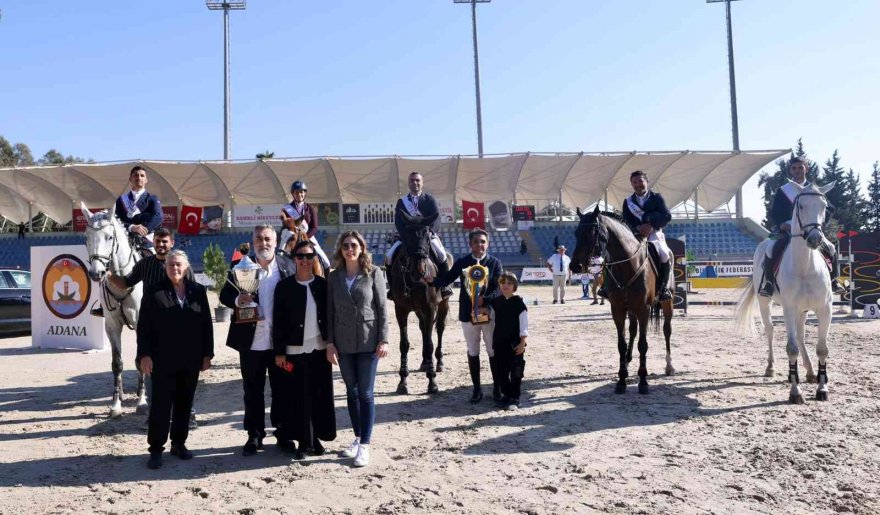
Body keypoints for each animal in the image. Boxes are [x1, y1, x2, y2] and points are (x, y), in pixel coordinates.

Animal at [81, 202, 148, 420]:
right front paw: (116, 404)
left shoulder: (140, 324)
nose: (96, 273)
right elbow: (117, 364)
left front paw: (142, 402)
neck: (123, 279)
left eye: (109, 237)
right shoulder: (112, 326)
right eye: (86, 237)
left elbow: (139, 361)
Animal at [390, 212, 446, 398]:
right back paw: (424, 362)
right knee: (423, 330)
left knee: (439, 329)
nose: (418, 271)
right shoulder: (400, 310)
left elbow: (429, 344)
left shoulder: (430, 308)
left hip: (442, 305)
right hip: (418, 311)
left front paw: (432, 382)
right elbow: (404, 344)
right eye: (407, 236)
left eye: (428, 237)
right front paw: (402, 382)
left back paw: (438, 362)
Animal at [572, 206, 672, 396]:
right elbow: (621, 344)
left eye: (593, 232)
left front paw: (643, 381)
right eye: (576, 232)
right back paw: (628, 359)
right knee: (632, 330)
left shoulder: (643, 310)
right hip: (630, 309)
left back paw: (669, 365)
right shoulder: (618, 309)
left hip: (666, 304)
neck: (628, 265)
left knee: (666, 330)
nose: (575, 266)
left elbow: (643, 344)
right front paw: (621, 380)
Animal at [732, 183, 836, 406]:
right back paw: (771, 368)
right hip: (766, 302)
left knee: (800, 335)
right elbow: (791, 348)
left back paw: (809, 371)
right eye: (801, 206)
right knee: (771, 331)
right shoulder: (788, 309)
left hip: (803, 310)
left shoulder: (825, 309)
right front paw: (795, 392)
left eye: (824, 206)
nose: (815, 239)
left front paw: (822, 388)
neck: (806, 266)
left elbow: (822, 348)